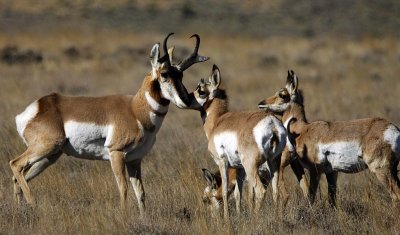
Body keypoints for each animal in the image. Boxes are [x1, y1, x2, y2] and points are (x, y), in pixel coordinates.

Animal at [9, 32, 209, 215]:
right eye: (165, 74)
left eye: (181, 75)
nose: (187, 100)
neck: (134, 110)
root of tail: (37, 107)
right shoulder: (116, 154)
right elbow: (123, 189)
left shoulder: (135, 160)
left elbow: (141, 193)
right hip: (45, 148)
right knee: (16, 164)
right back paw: (33, 205)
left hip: (51, 156)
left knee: (19, 177)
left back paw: (20, 211)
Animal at [189, 64, 286, 218]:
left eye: (201, 91)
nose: (186, 98)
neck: (218, 121)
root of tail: (271, 123)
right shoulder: (239, 168)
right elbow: (237, 194)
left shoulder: (222, 162)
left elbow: (224, 191)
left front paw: (227, 219)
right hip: (273, 163)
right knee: (275, 191)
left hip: (251, 166)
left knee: (260, 191)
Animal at [258, 70, 400, 207]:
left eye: (282, 94)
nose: (261, 103)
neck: (303, 129)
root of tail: (392, 128)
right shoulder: (331, 172)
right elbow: (332, 200)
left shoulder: (315, 171)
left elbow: (311, 196)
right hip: (392, 170)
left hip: (381, 170)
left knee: (396, 195)